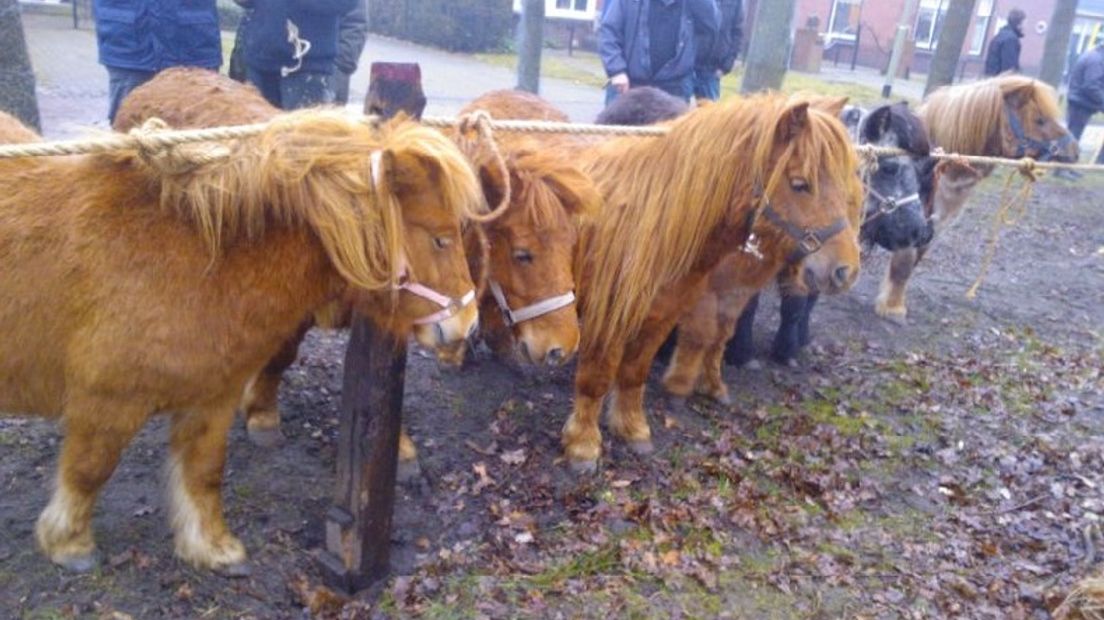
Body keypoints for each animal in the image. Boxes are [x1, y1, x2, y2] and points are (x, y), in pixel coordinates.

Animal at [1, 101, 483, 569]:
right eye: (440, 239)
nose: (469, 323)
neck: (200, 261)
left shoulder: (213, 400)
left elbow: (205, 470)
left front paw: (211, 548)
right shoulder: (106, 403)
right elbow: (90, 469)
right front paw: (69, 544)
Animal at [474, 89, 861, 469]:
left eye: (846, 186)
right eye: (800, 184)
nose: (845, 270)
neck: (653, 225)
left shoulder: (662, 316)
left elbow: (636, 372)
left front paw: (632, 428)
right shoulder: (607, 320)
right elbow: (596, 379)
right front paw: (583, 445)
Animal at [874, 75, 1081, 319]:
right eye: (1039, 120)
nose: (1075, 151)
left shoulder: (933, 227)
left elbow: (912, 262)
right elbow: (903, 265)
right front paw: (892, 307)